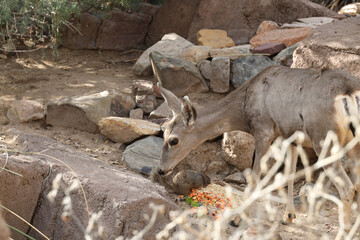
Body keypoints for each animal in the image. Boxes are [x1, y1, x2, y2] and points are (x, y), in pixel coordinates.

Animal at [158, 65, 360, 231]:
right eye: (163, 130)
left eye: (173, 140)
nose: (161, 169)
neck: (244, 109)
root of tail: (349, 92)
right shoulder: (290, 137)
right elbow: (289, 174)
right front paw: (288, 216)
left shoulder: (263, 129)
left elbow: (255, 177)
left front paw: (237, 219)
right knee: (356, 183)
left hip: (323, 138)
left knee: (347, 188)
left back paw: (345, 230)